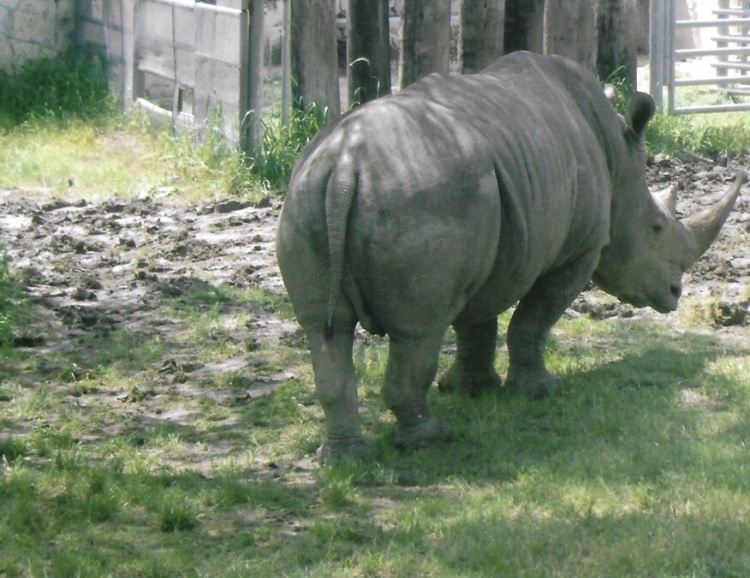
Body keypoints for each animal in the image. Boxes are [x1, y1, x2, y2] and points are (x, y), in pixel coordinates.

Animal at [276, 50, 745, 462]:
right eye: (656, 228)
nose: (675, 294)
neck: (616, 157)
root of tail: (345, 168)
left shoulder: (491, 240)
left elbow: (477, 320)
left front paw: (470, 389)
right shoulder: (580, 249)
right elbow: (532, 319)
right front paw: (539, 392)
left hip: (308, 196)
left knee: (324, 330)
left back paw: (344, 458)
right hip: (420, 199)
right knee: (418, 329)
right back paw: (431, 439)